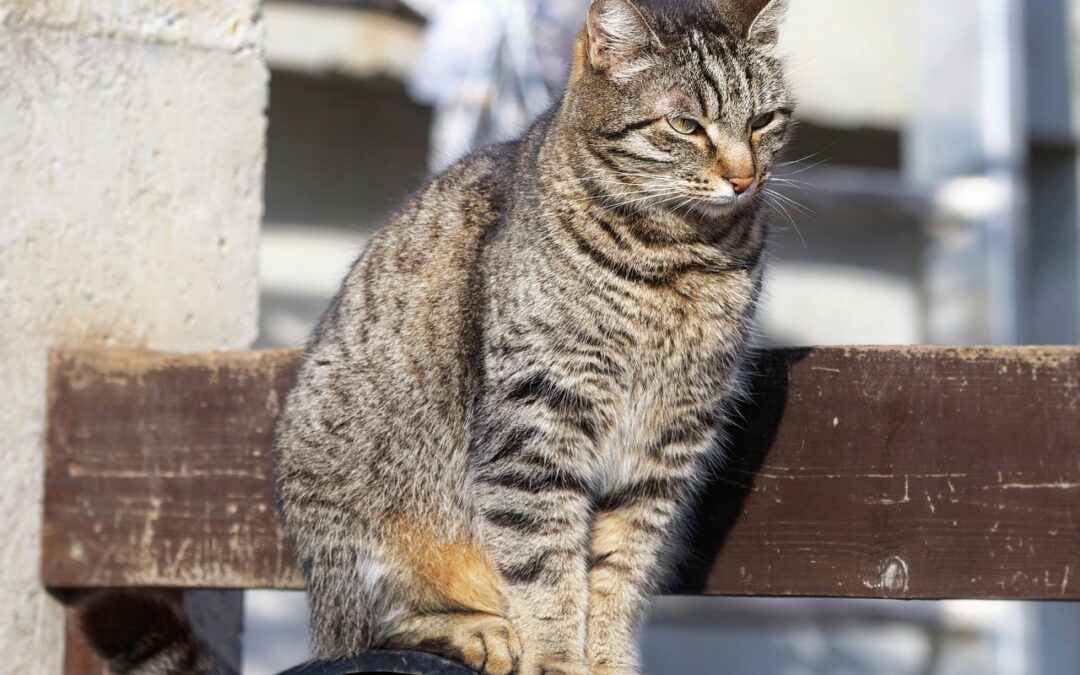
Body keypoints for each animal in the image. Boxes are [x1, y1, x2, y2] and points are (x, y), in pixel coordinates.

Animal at [274, 1, 799, 669]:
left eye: (764, 121)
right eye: (685, 125)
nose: (743, 178)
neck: (678, 258)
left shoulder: (667, 443)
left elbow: (621, 569)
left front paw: (607, 658)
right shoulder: (537, 422)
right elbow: (545, 563)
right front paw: (556, 658)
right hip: (361, 530)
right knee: (373, 629)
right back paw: (480, 631)